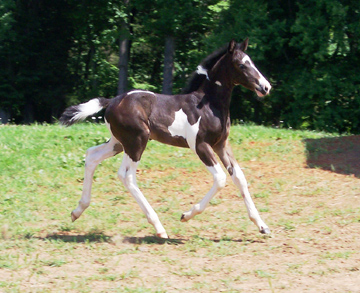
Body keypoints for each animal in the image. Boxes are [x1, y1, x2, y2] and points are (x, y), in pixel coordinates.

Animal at [60, 38, 272, 237]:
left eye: (251, 62)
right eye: (242, 65)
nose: (266, 87)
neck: (208, 105)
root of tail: (112, 101)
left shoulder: (221, 145)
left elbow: (239, 177)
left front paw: (262, 226)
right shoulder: (200, 145)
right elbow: (220, 179)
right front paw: (186, 215)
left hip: (118, 143)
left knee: (92, 156)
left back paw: (77, 211)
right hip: (137, 142)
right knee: (127, 176)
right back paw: (159, 227)